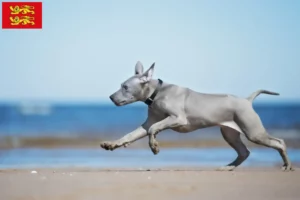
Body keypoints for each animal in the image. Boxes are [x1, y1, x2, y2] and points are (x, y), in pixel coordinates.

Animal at [101, 61, 292, 170]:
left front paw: (154, 146)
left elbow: (153, 129)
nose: (110, 97)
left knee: (279, 142)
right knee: (244, 152)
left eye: (125, 87)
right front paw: (112, 144)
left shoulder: (177, 118)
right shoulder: (148, 122)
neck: (157, 93)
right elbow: (132, 134)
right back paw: (228, 167)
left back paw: (288, 165)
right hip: (229, 133)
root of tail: (247, 100)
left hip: (253, 131)